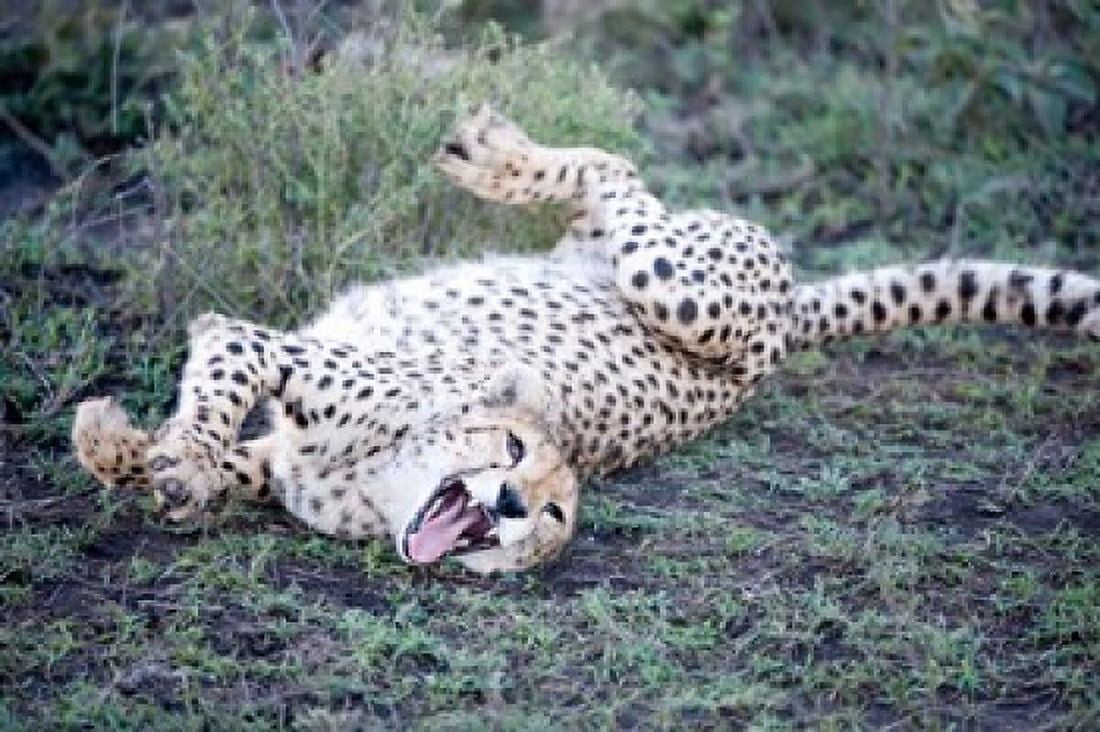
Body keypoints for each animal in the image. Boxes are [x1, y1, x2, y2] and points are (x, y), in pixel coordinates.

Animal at [72, 104, 1100, 573]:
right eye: (511, 452)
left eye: (556, 518)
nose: (510, 505)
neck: (384, 480)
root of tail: (792, 315)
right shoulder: (266, 354)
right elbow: (213, 390)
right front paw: (142, 447)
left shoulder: (284, 443)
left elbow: (219, 455)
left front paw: (140, 454)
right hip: (669, 281)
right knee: (615, 167)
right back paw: (497, 152)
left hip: (681, 288)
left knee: (615, 176)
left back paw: (497, 154)